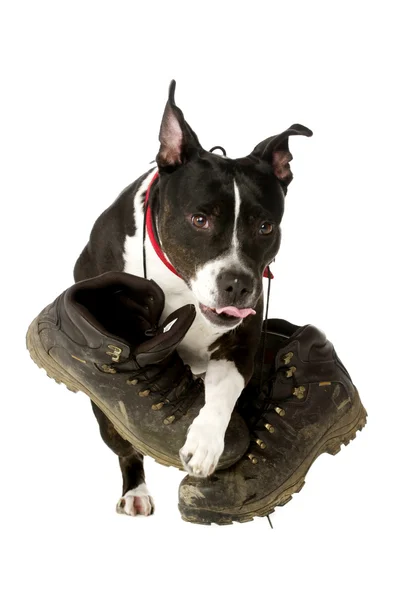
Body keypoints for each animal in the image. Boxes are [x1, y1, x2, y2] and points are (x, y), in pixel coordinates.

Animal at [74, 81, 310, 516]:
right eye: (199, 220)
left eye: (265, 227)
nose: (237, 284)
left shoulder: (241, 345)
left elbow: (223, 393)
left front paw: (204, 443)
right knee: (123, 443)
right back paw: (135, 490)